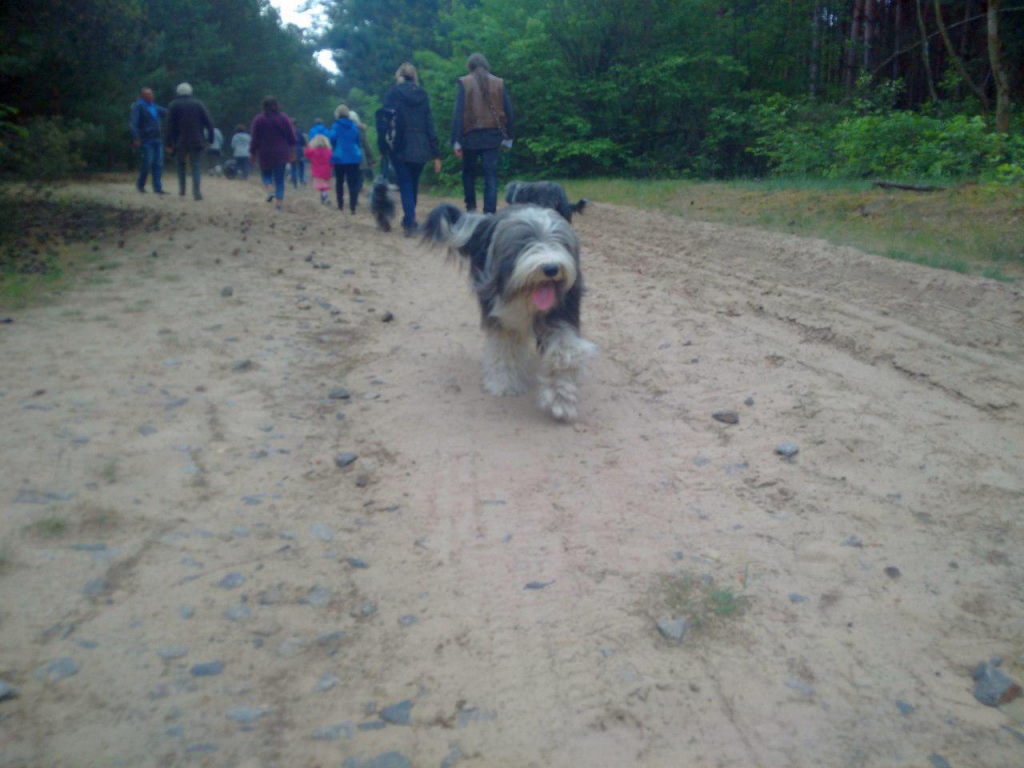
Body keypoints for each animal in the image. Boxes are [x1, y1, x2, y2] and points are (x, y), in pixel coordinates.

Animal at [419, 201, 598, 423]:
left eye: (561, 242)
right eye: (524, 242)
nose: (551, 268)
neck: (526, 296)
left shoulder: (562, 312)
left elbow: (564, 353)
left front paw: (561, 399)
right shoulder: (502, 317)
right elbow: (505, 348)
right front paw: (504, 384)